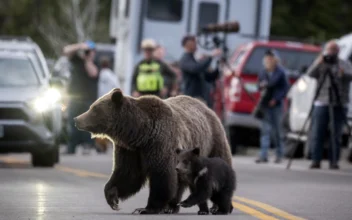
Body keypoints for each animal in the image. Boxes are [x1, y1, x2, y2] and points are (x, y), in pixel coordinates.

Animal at [74, 88, 232, 214]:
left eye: (94, 109)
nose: (77, 119)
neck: (140, 133)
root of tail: (206, 107)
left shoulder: (161, 144)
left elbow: (162, 176)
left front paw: (146, 208)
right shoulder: (130, 150)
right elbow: (127, 173)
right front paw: (112, 197)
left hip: (212, 143)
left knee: (220, 167)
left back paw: (220, 207)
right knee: (180, 181)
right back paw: (172, 207)